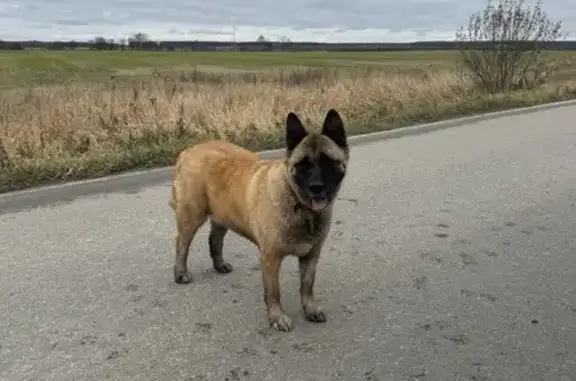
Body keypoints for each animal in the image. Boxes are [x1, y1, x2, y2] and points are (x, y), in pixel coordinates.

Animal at [169, 107, 348, 330]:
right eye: (302, 165)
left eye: (327, 162)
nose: (316, 187)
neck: (296, 201)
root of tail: (187, 152)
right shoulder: (270, 258)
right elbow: (274, 291)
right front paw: (276, 316)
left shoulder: (311, 256)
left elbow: (307, 286)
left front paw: (310, 309)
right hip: (191, 216)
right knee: (182, 244)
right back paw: (180, 273)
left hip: (223, 215)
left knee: (215, 240)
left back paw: (219, 264)